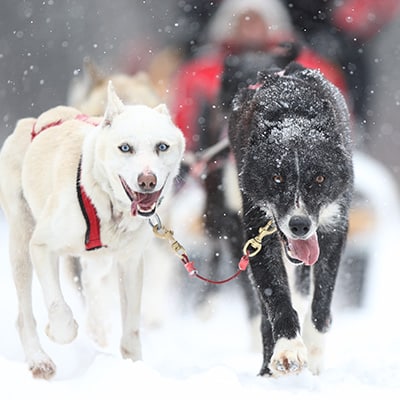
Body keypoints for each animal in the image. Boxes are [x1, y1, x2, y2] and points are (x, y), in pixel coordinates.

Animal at [0, 83, 185, 378]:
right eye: (125, 148)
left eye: (162, 146)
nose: (147, 180)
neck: (107, 205)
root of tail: (29, 124)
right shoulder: (41, 246)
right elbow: (59, 309)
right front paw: (59, 330)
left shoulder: (130, 263)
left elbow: (131, 327)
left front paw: (135, 367)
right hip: (21, 240)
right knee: (24, 315)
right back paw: (38, 359)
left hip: (96, 259)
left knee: (92, 279)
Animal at [228, 62, 354, 376]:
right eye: (277, 178)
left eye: (319, 179)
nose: (299, 225)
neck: (292, 114)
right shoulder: (257, 234)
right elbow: (278, 299)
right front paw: (288, 349)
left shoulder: (334, 228)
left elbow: (321, 302)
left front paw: (314, 351)